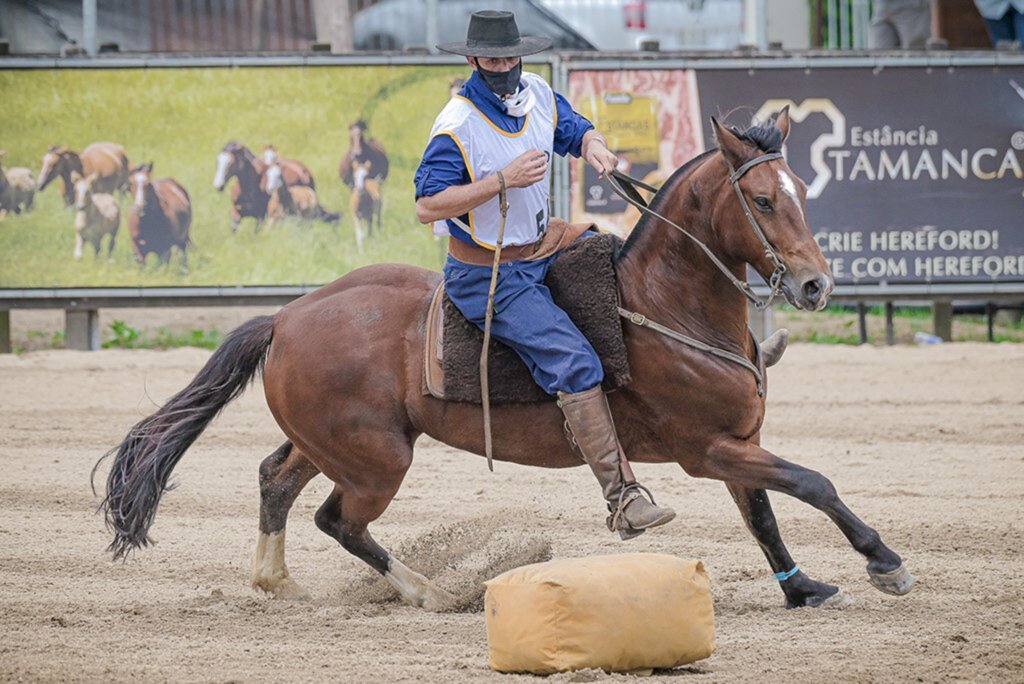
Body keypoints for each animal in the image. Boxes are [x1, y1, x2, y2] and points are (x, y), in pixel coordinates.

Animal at [97, 112, 913, 614]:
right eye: (766, 200)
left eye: (802, 192)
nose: (816, 285)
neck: (666, 303)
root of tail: (287, 316)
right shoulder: (706, 449)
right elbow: (813, 483)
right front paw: (882, 560)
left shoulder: (738, 443)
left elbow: (766, 513)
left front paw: (803, 587)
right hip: (378, 460)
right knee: (338, 519)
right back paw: (430, 592)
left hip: (331, 441)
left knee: (275, 478)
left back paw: (277, 580)